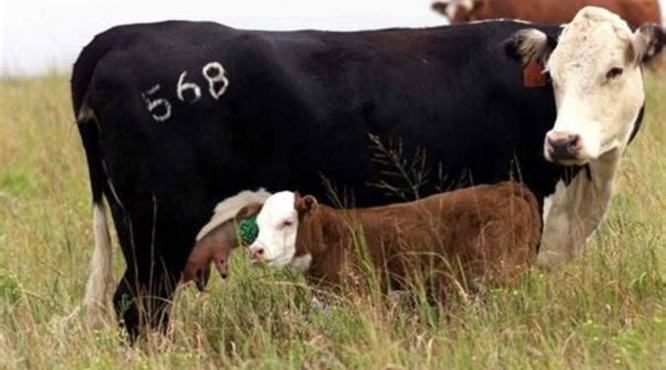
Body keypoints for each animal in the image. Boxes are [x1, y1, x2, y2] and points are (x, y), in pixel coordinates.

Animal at [70, 5, 660, 336]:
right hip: (156, 233)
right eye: (554, 75)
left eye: (615, 70)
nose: (562, 142)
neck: (578, 199)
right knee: (140, 308)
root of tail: (119, 35)